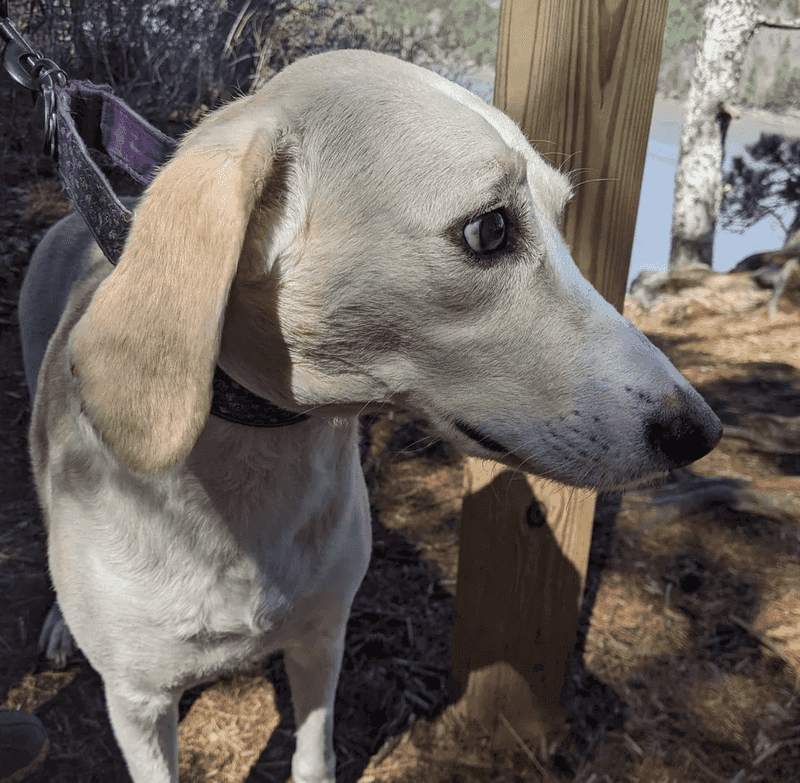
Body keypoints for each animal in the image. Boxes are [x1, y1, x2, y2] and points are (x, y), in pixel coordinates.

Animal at [18, 49, 720, 783]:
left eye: (562, 216)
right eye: (490, 229)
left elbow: (314, 755)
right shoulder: (139, 702)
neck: (254, 469)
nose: (701, 431)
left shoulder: (322, 640)